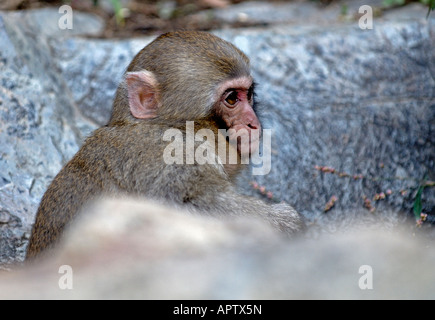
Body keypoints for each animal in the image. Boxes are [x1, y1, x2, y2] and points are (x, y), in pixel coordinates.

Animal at [26, 30, 306, 260]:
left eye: (248, 94)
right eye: (231, 99)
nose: (253, 123)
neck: (169, 127)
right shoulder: (173, 158)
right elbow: (195, 206)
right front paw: (288, 222)